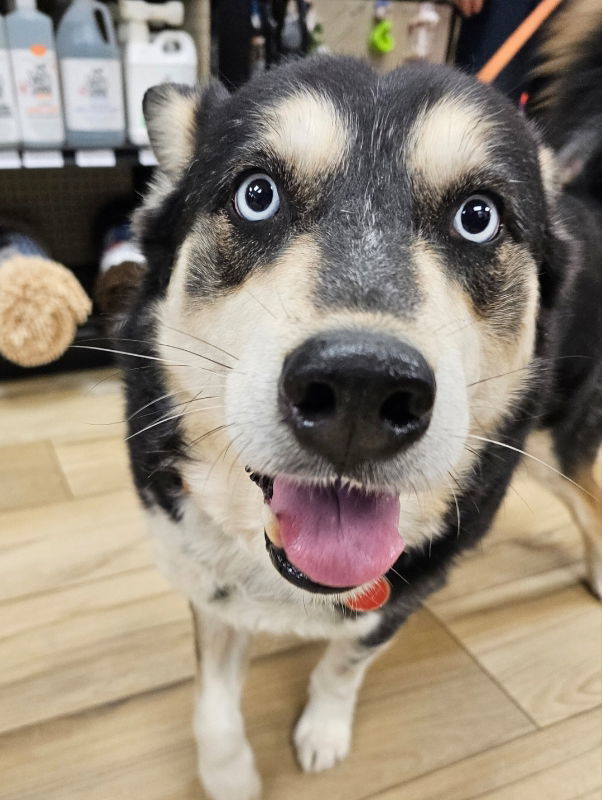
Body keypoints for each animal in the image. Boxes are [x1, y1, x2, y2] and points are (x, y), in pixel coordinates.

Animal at [119, 3, 596, 796]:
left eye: (479, 216)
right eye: (257, 195)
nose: (360, 388)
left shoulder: (398, 599)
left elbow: (343, 665)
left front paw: (321, 730)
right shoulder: (202, 579)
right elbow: (211, 704)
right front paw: (229, 774)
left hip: (552, 440)